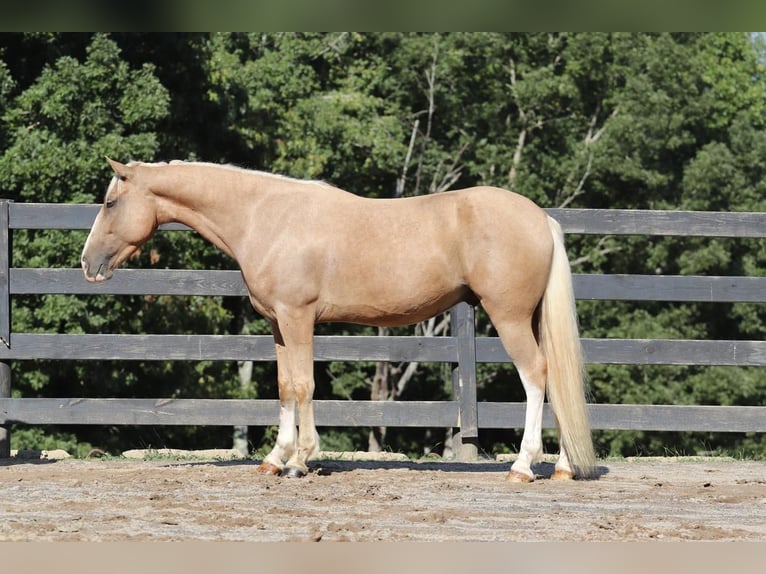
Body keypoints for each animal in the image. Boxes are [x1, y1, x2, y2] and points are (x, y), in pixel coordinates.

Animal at [84, 156, 600, 482]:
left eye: (110, 203)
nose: (88, 264)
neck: (266, 216)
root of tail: (541, 218)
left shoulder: (298, 318)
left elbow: (303, 386)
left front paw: (301, 461)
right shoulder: (278, 324)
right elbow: (284, 387)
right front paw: (275, 459)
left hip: (509, 317)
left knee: (536, 376)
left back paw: (523, 467)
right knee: (554, 380)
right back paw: (562, 467)